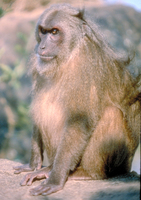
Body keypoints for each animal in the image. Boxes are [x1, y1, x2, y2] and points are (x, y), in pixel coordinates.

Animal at [12, 3, 140, 196]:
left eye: (54, 32)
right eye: (43, 31)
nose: (42, 47)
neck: (69, 54)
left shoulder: (85, 61)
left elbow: (79, 121)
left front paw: (55, 179)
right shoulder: (39, 64)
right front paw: (33, 164)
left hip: (120, 162)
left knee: (111, 114)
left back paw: (85, 173)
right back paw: (48, 168)